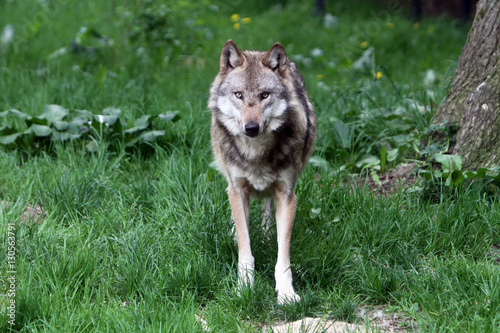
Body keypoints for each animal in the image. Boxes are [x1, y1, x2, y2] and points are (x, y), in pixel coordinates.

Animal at [208, 39, 316, 304]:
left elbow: (283, 253)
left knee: (267, 207)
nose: (251, 127)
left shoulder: (287, 194)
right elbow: (245, 247)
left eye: (264, 95)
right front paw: (244, 287)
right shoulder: (238, 190)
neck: (255, 152)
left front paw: (286, 292)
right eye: (239, 95)